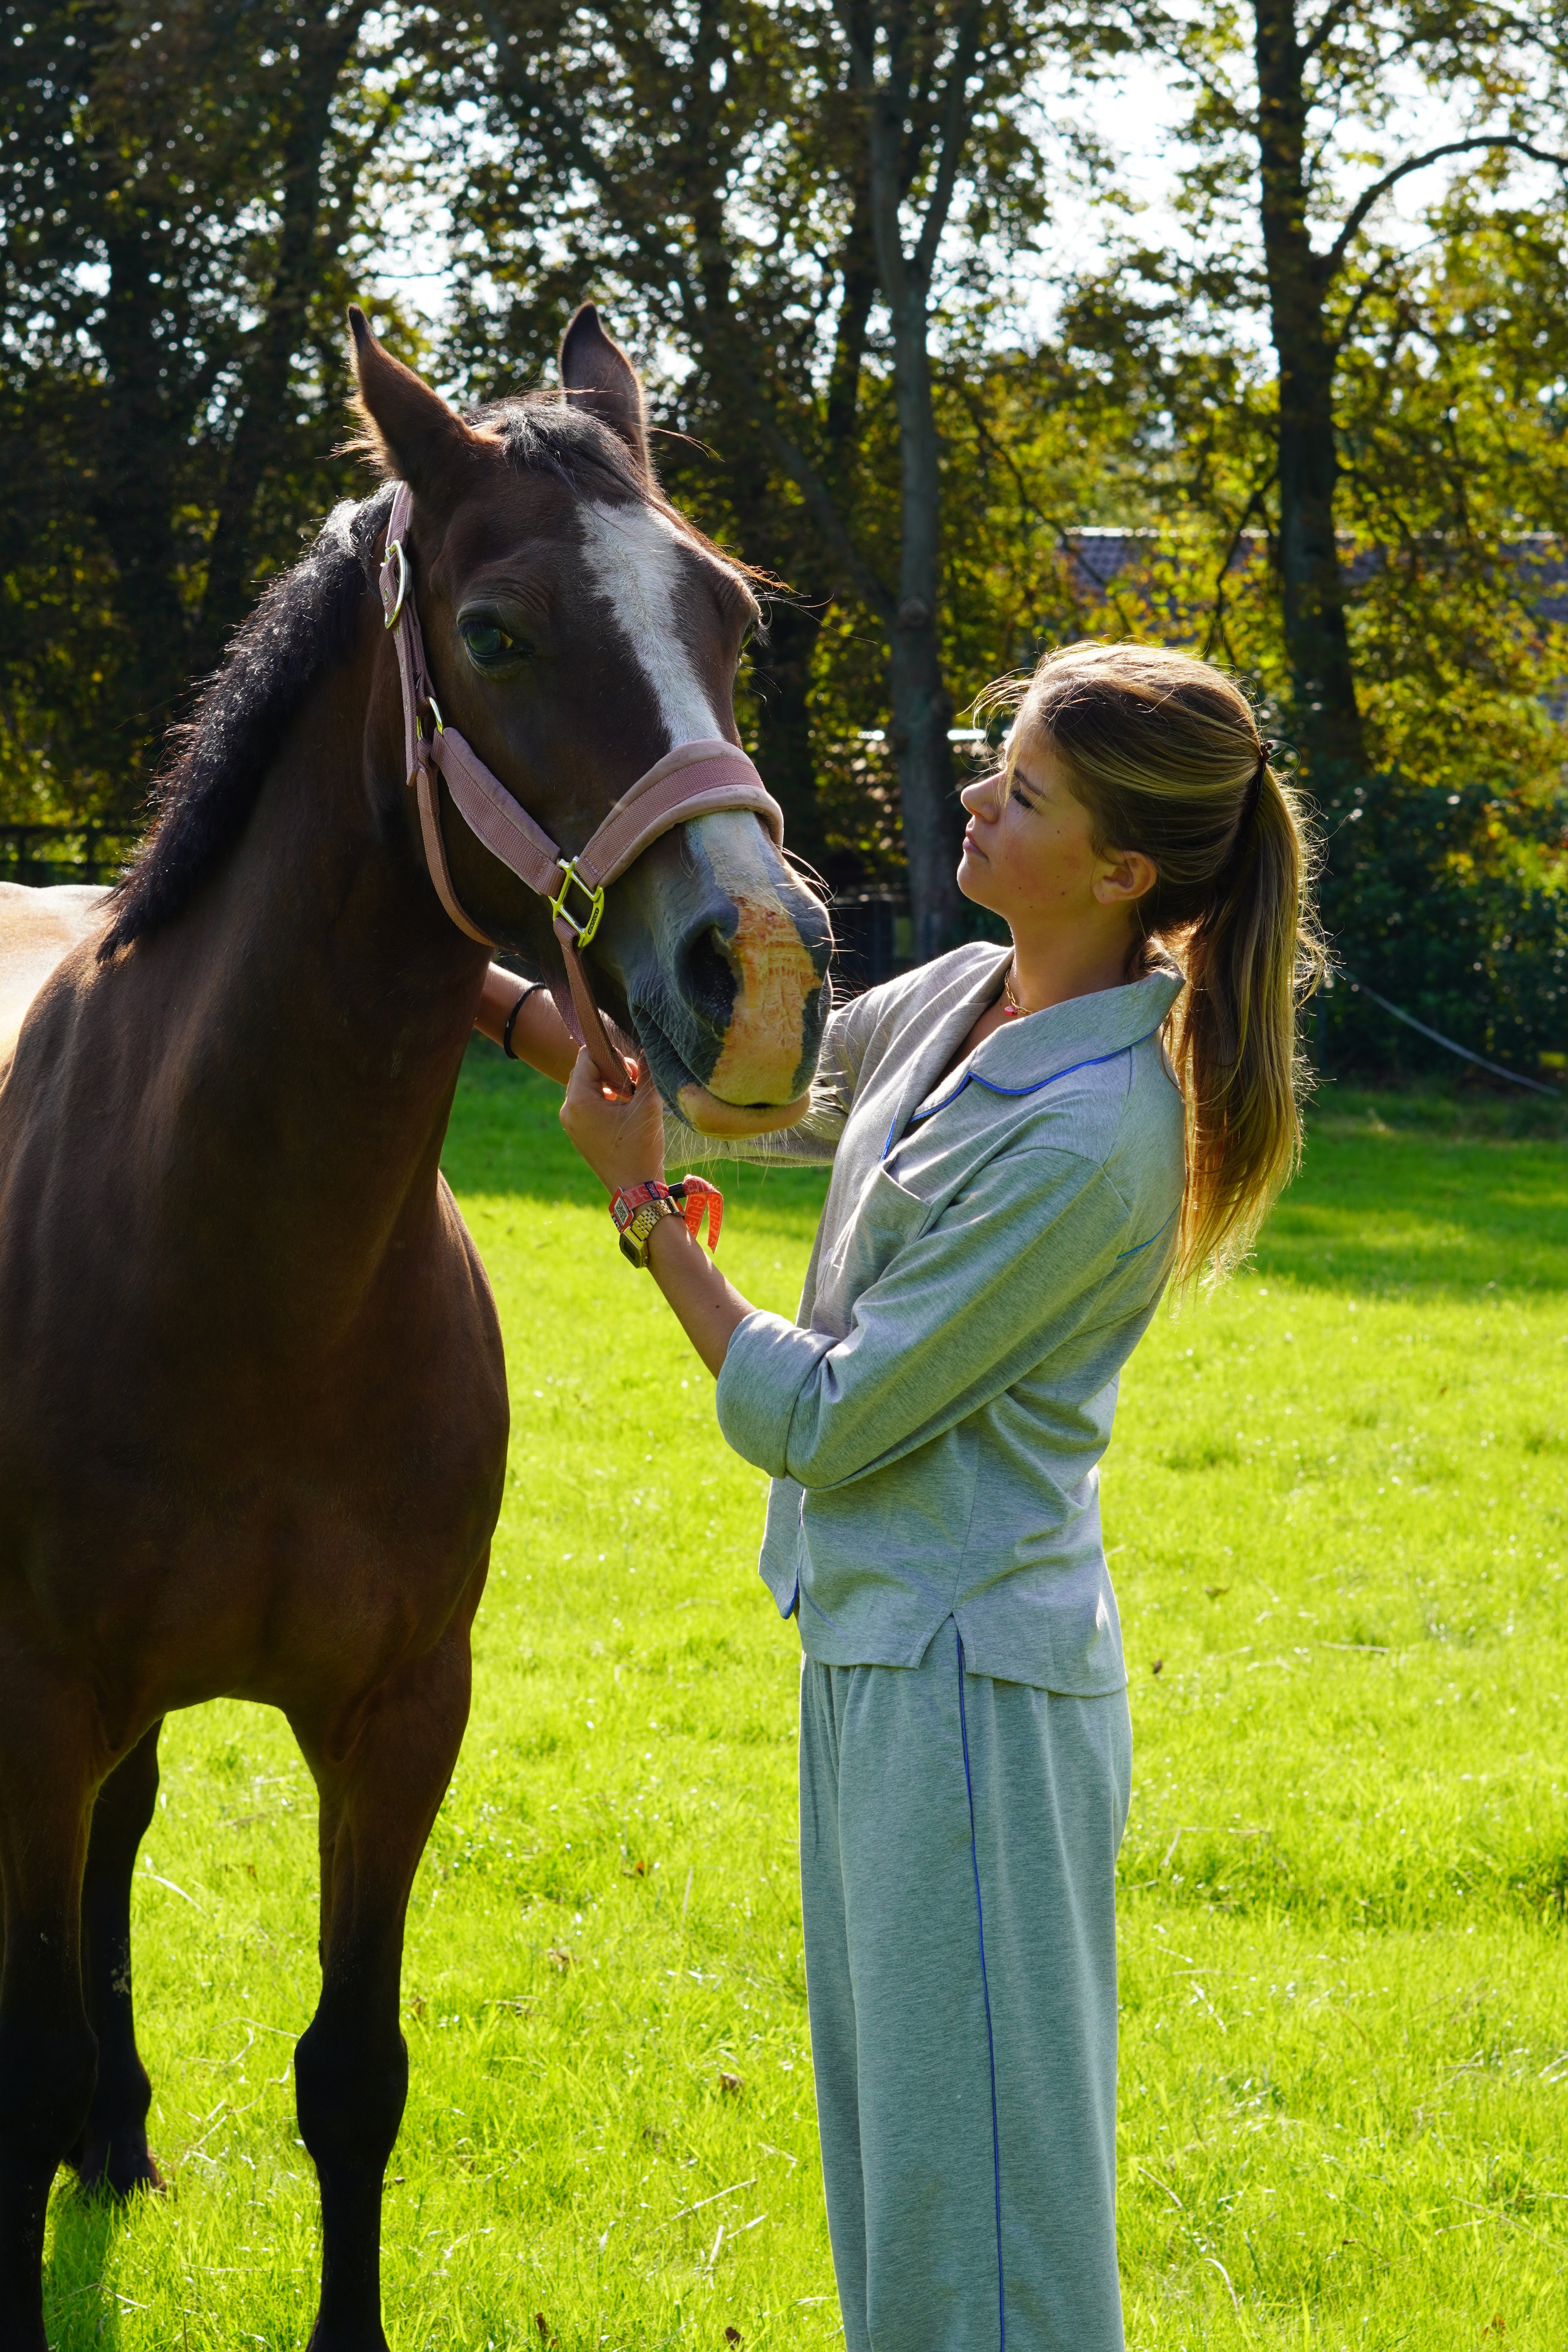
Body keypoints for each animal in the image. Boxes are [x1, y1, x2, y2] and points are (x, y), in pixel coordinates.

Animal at [0, 313, 832, 2352]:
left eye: (729, 618)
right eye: (498, 631)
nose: (764, 975)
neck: (248, 1269)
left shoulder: (400, 1715)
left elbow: (351, 2075)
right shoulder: (38, 1696)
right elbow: (16, 2053)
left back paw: (122, 2139)